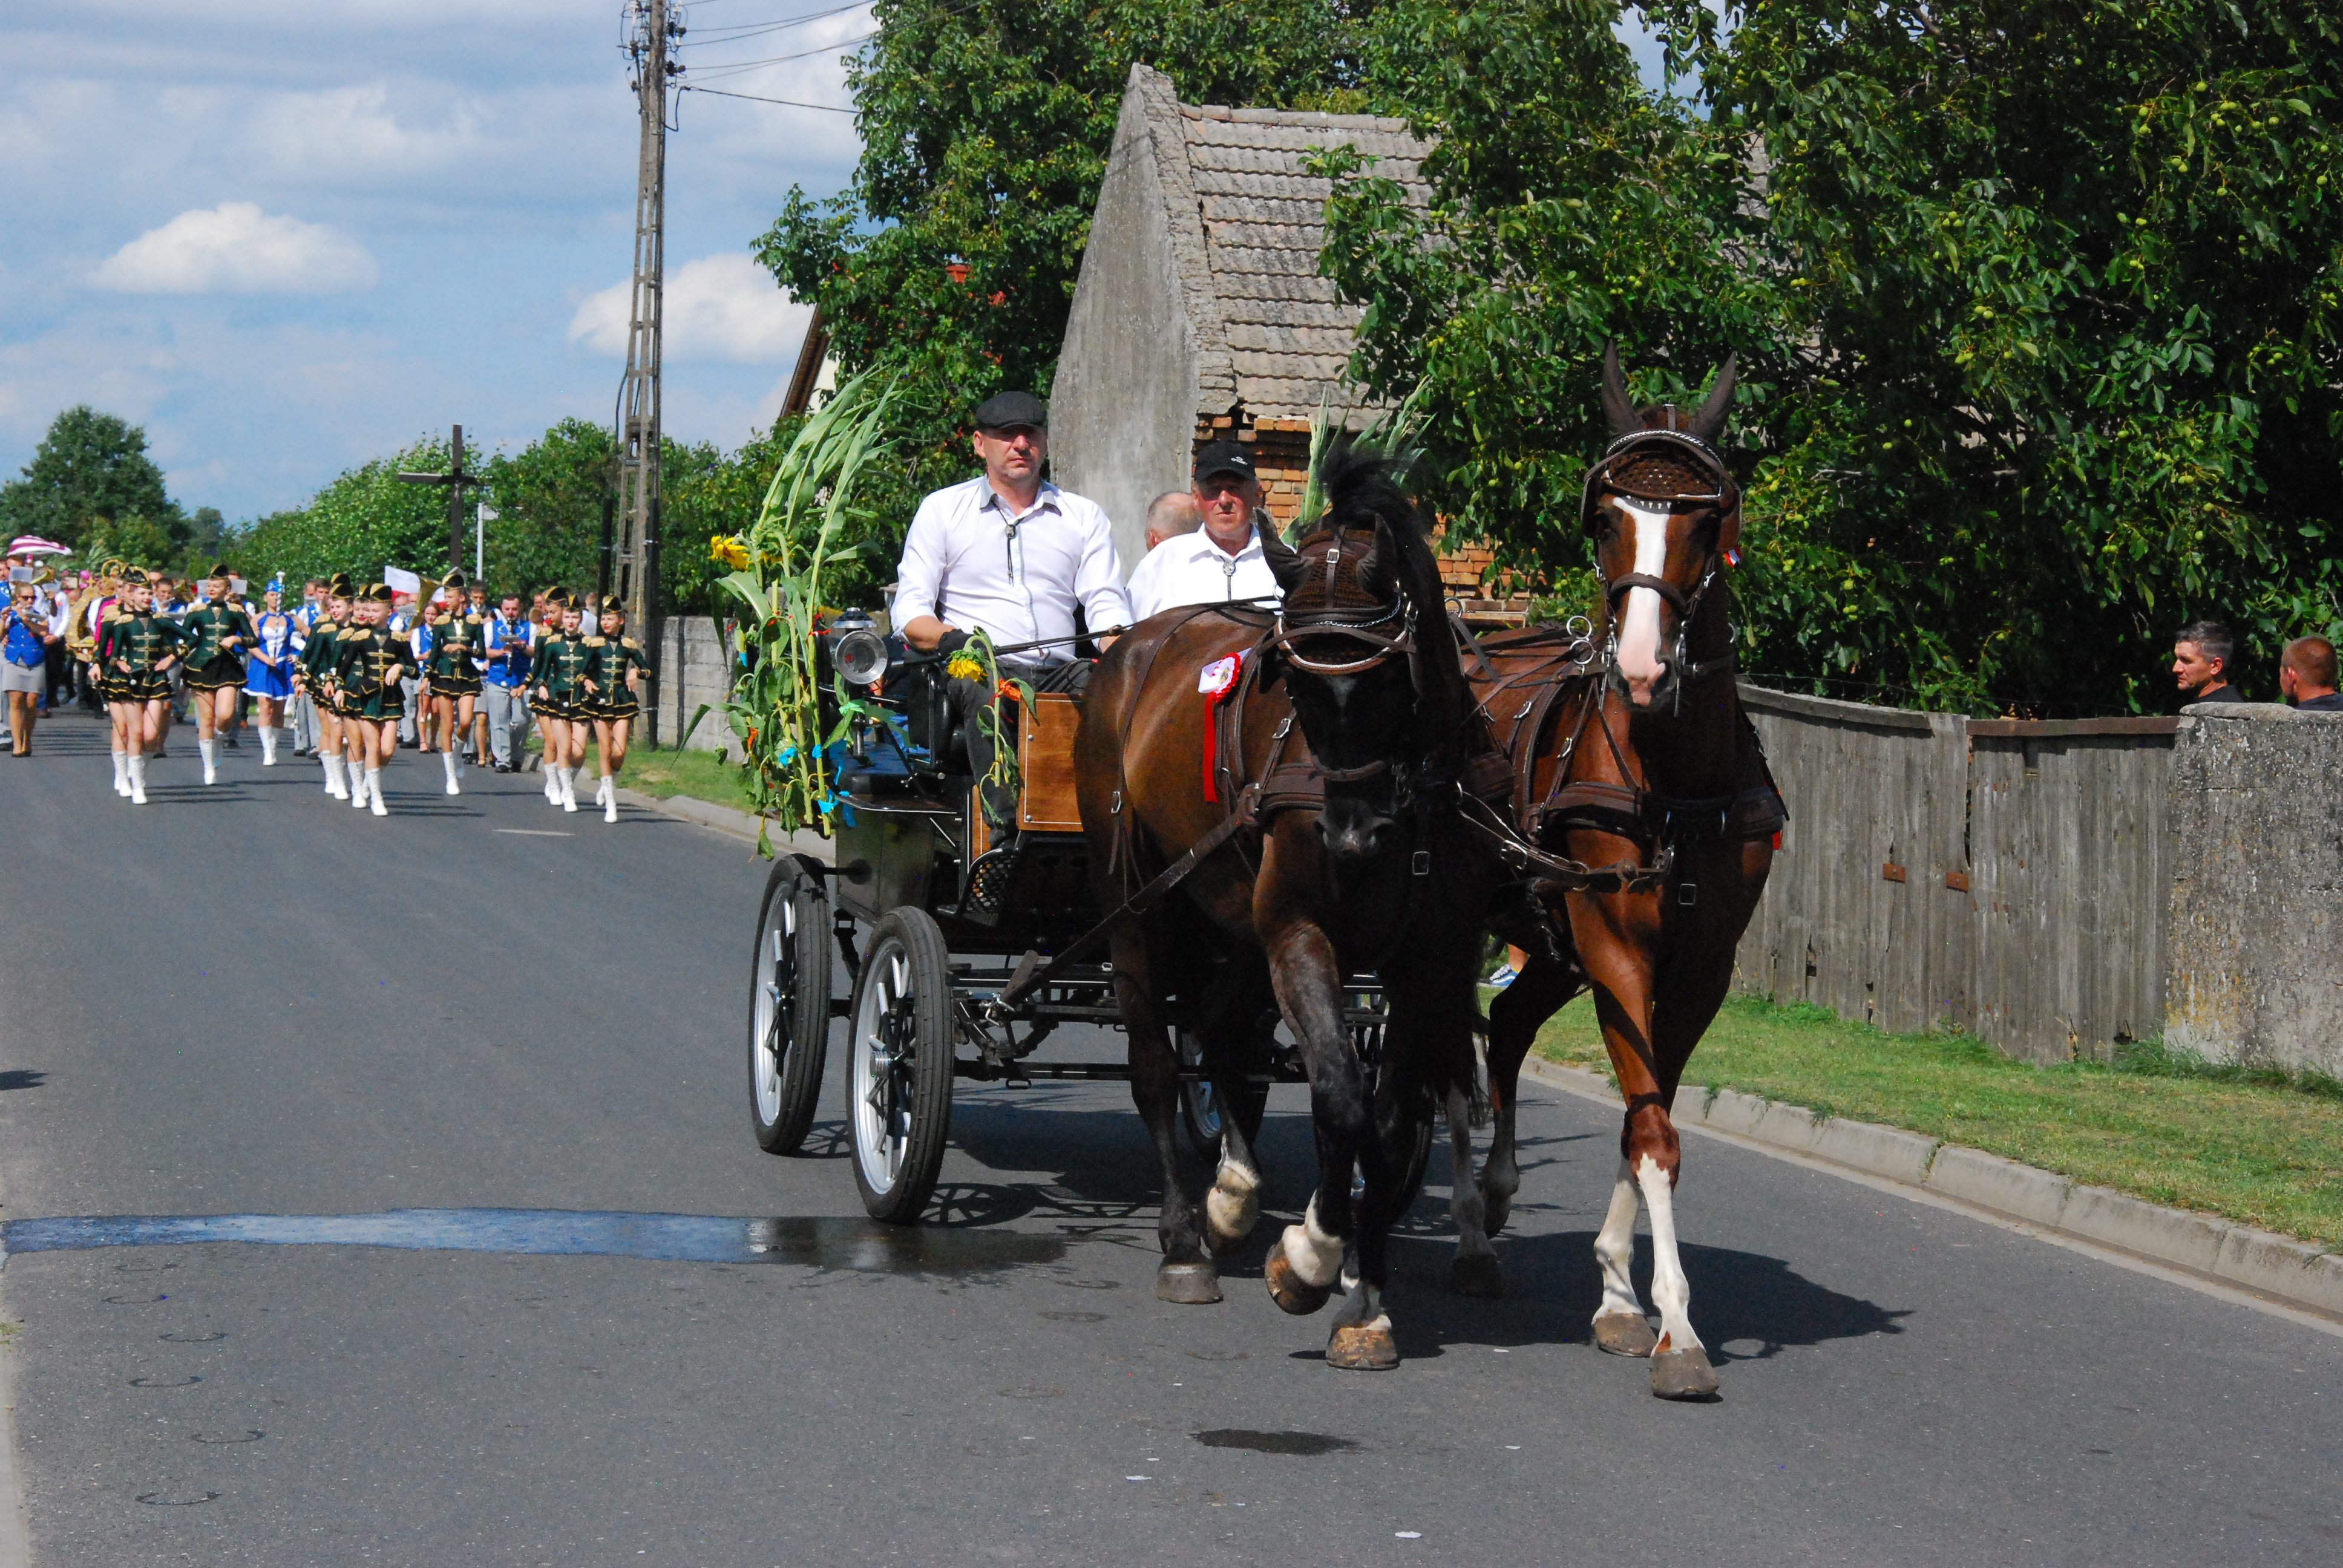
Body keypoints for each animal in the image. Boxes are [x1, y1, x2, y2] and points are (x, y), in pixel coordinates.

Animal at [1073, 443, 1490, 1368]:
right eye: (1292, 683)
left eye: (1388, 676)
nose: (1350, 836)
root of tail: (1129, 652)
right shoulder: (1299, 933)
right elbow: (1337, 1094)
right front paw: (1309, 1258)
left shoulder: (1429, 963)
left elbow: (1388, 1121)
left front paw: (1364, 1300)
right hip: (1136, 905)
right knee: (1157, 1065)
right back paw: (1185, 1240)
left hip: (1227, 920)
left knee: (1224, 1035)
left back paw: (1232, 1193)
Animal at [1443, 349, 1771, 1397]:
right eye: (1605, 519)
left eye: (1707, 520)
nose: (1639, 667)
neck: (1677, 781)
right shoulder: (1619, 946)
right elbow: (1654, 1129)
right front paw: (1678, 1330)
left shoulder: (1702, 968)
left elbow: (1645, 1115)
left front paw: (1623, 1296)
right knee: (1448, 1061)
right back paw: (1469, 1231)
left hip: (1549, 941)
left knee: (1505, 1027)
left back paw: (1498, 1196)